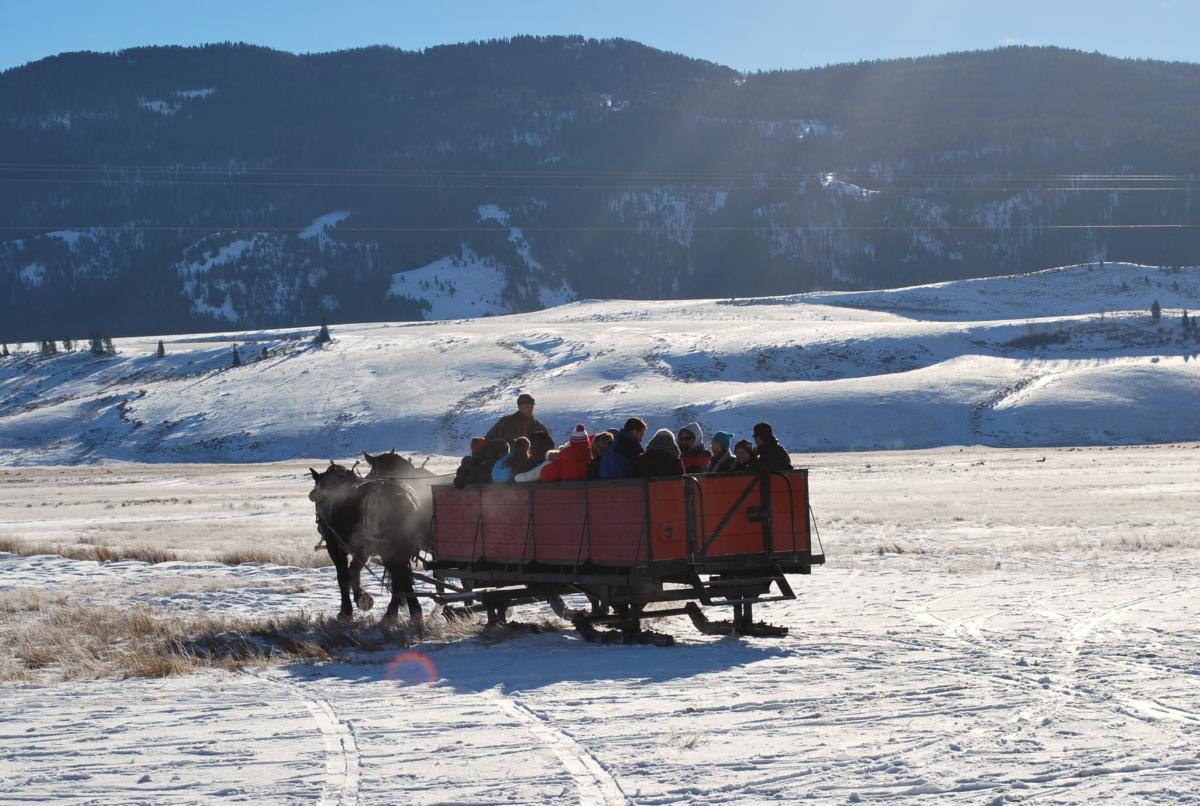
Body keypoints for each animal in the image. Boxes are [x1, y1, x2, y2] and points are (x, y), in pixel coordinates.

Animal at [309, 453, 436, 623]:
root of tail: (409, 499)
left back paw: (401, 613)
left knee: (400, 577)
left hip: (389, 549)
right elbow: (354, 569)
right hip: (400, 548)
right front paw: (361, 597)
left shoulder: (334, 545)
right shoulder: (362, 549)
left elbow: (343, 576)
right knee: (401, 578)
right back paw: (407, 612)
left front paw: (346, 611)